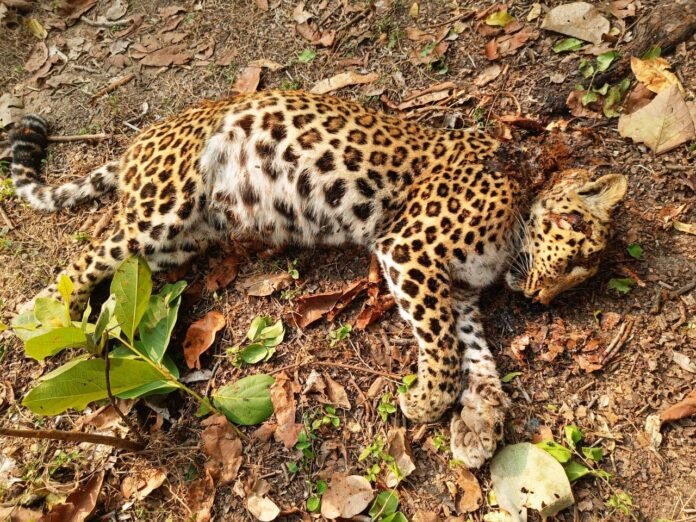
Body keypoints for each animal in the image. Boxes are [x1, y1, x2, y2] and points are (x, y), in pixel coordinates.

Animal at [8, 90, 627, 468]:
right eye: (576, 247)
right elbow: (443, 348)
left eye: (578, 279)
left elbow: (477, 358)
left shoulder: (460, 294)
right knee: (79, 263)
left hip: (175, 241)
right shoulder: (411, 251)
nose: (541, 296)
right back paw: (55, 323)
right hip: (161, 209)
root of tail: (143, 139)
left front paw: (478, 427)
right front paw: (428, 402)